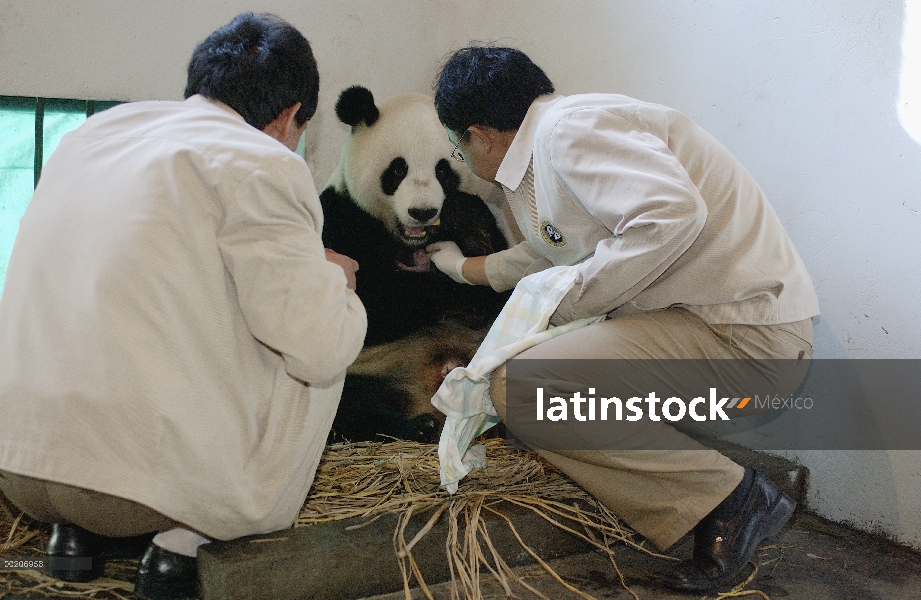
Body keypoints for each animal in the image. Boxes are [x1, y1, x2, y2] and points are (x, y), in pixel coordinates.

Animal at [320, 84, 512, 442]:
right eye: (398, 170)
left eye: (443, 170)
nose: (422, 212)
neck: (409, 242)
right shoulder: (341, 219)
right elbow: (371, 307)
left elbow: (497, 291)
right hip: (368, 371)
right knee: (346, 406)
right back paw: (417, 426)